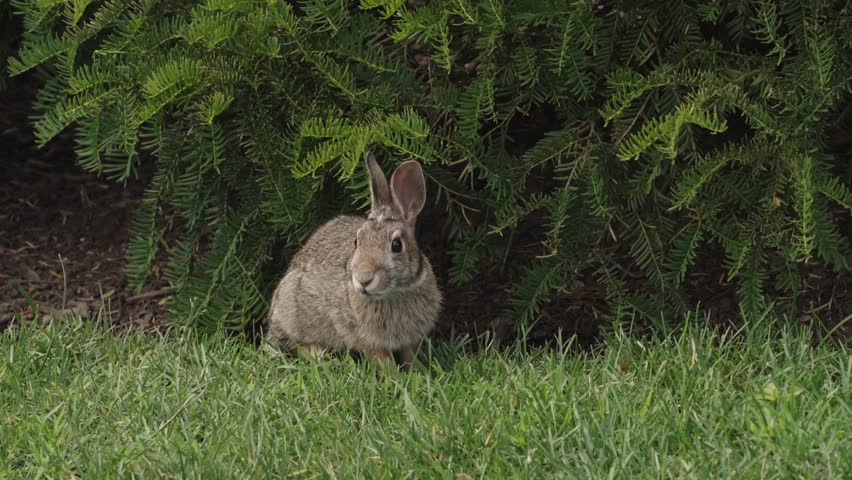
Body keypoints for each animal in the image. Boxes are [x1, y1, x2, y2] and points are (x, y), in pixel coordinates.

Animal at [266, 152, 442, 371]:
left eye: (396, 245)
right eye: (357, 241)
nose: (363, 279)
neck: (395, 292)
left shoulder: (410, 339)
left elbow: (409, 357)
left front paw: (414, 373)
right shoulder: (368, 340)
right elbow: (384, 362)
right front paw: (396, 378)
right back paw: (323, 357)